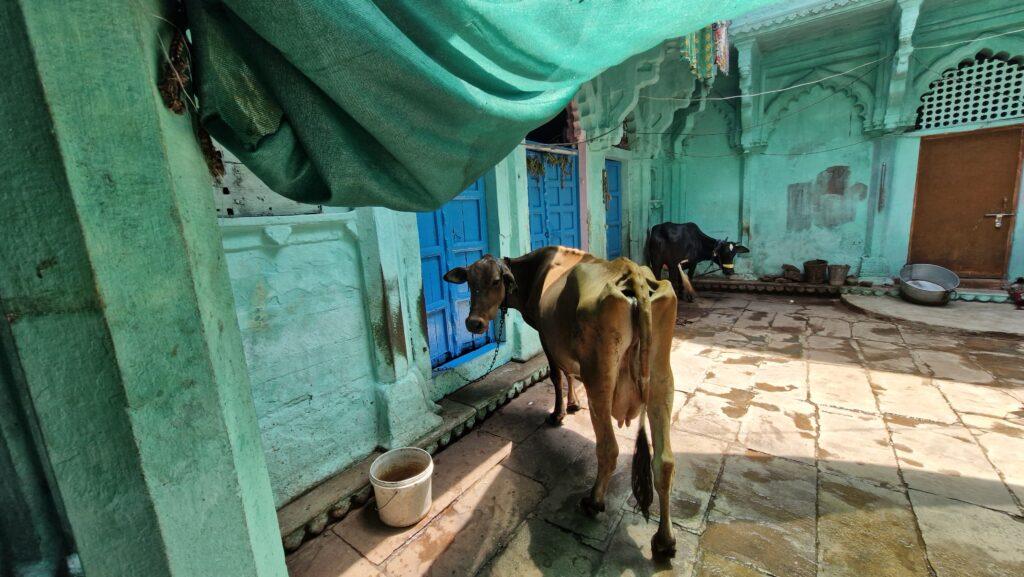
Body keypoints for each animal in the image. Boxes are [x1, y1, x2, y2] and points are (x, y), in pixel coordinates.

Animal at [443, 246, 678, 557]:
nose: (473, 323)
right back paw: (664, 540)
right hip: (662, 379)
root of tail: (631, 271)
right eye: (469, 282)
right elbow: (568, 372)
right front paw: (573, 403)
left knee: (609, 449)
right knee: (664, 461)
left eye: (496, 281)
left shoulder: (546, 336)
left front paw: (558, 414)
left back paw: (593, 501)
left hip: (600, 378)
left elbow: (557, 374)